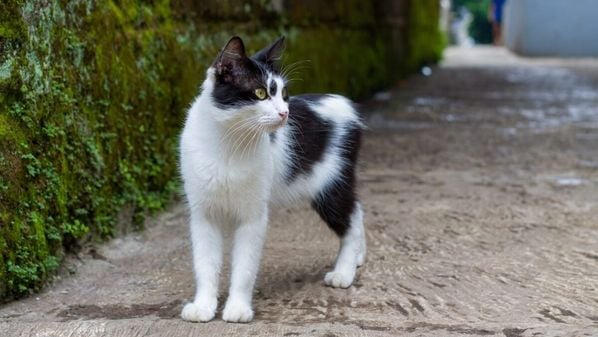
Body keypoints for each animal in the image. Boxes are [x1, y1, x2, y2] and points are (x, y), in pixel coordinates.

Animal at [178, 35, 366, 322]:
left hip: (331, 183)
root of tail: (345, 102)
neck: (229, 143)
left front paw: (237, 308)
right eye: (260, 93)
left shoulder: (253, 215)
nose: (284, 113)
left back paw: (344, 271)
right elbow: (205, 263)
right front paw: (203, 306)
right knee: (357, 209)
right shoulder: (203, 213)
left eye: (284, 95)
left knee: (351, 219)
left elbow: (245, 266)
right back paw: (357, 257)